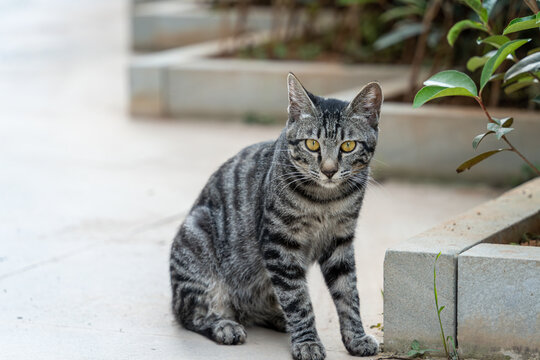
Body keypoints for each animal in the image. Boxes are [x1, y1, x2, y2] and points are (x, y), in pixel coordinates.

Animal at [170, 71, 384, 358]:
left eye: (348, 146)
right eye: (312, 144)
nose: (328, 171)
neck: (325, 200)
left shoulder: (340, 241)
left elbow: (348, 294)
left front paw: (356, 337)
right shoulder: (280, 244)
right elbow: (297, 299)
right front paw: (307, 341)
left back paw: (276, 317)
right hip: (198, 236)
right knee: (191, 313)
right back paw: (226, 325)